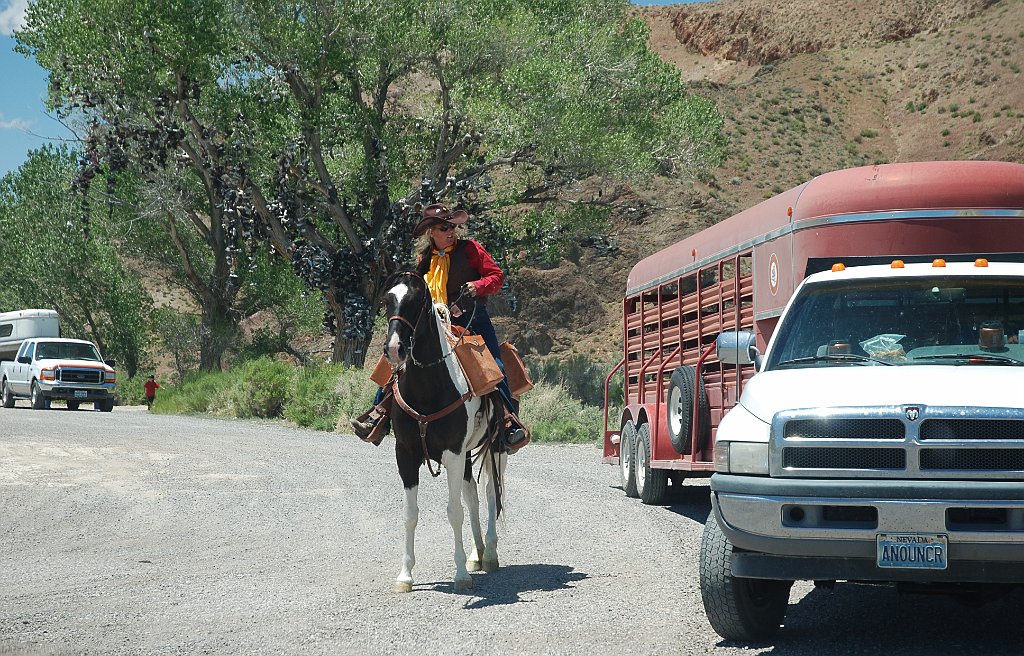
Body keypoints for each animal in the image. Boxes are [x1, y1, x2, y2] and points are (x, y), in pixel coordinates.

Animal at [380, 268, 507, 589]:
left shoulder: (452, 453)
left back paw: (489, 555)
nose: (395, 349)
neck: (428, 390)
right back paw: (477, 553)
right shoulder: (406, 455)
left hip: (496, 448)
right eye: (388, 300)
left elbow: (454, 512)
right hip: (467, 455)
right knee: (472, 494)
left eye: (416, 301)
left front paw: (460, 574)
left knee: (490, 493)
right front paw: (405, 575)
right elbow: (410, 514)